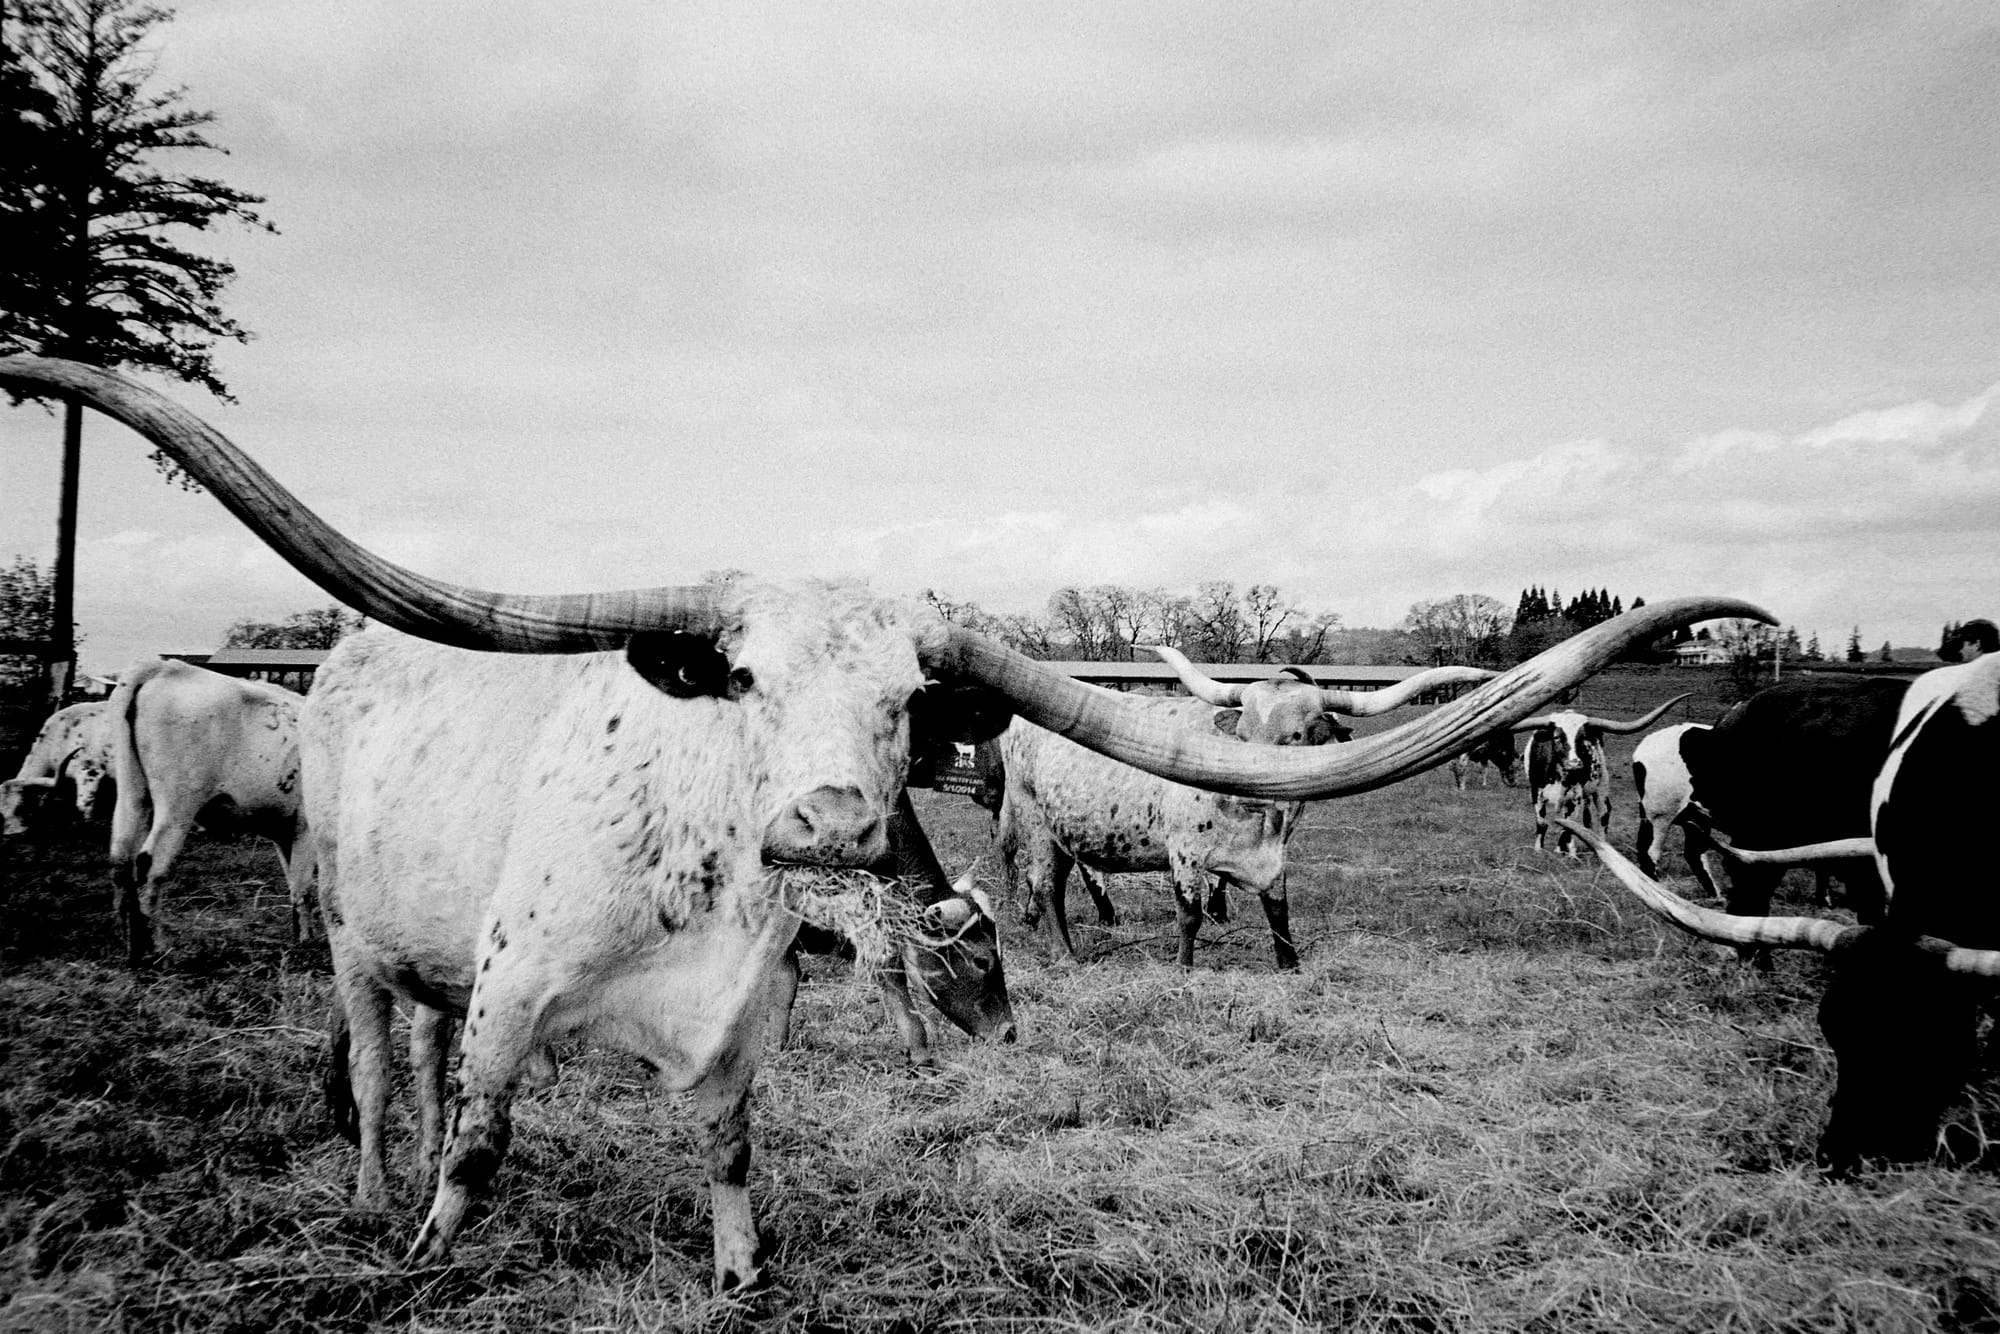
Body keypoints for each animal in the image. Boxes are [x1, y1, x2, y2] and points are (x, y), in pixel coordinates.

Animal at [1000, 660, 1495, 970]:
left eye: (1297, 735)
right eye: (1240, 734)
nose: (1249, 790)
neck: (1262, 824)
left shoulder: (1274, 858)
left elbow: (1279, 912)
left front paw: (1289, 965)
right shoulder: (1186, 854)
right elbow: (1190, 915)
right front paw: (1183, 968)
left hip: (1064, 831)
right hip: (1034, 821)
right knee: (1045, 887)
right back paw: (1064, 954)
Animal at [1514, 696, 1691, 858]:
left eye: (1583, 738)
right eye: (1557, 737)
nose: (1574, 764)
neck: (1560, 775)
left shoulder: (1575, 797)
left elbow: (1569, 826)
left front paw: (1571, 855)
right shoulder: (1536, 792)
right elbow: (1542, 823)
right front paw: (1539, 850)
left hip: (1602, 785)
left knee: (1604, 813)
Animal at [1562, 651, 2000, 1173]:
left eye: (1935, 1045)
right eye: (1832, 1030)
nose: (1840, 1157)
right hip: (1726, 823)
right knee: (1724, 881)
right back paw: (1756, 965)